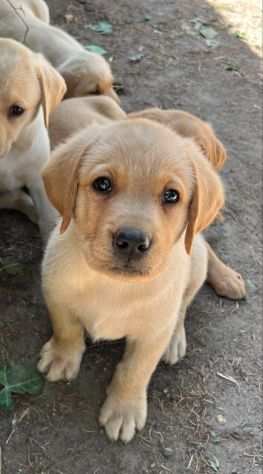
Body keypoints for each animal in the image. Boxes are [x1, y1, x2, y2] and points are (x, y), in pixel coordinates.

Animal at [38, 117, 242, 440]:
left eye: (172, 195)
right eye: (102, 184)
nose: (132, 241)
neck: (112, 285)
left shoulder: (151, 333)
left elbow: (135, 371)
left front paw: (124, 409)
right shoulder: (56, 293)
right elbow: (66, 329)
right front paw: (62, 356)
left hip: (195, 263)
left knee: (182, 307)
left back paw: (174, 340)